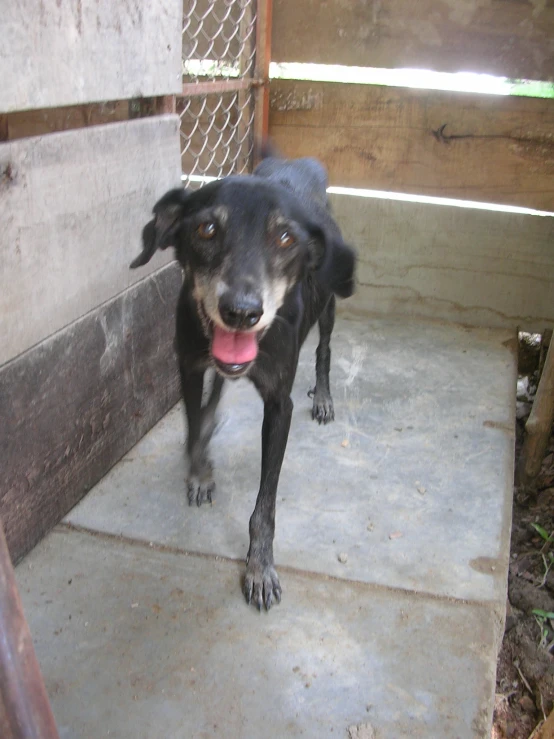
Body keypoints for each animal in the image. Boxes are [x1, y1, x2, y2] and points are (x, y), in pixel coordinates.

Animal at [129, 153, 354, 608]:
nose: (241, 312)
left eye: (285, 237)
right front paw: (200, 473)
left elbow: (264, 506)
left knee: (323, 350)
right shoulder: (189, 366)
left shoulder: (279, 406)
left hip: (328, 307)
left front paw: (260, 568)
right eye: (206, 229)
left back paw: (323, 396)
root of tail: (298, 161)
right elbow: (194, 425)